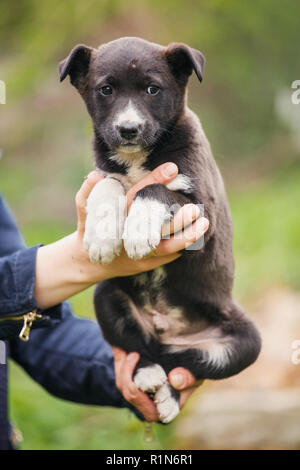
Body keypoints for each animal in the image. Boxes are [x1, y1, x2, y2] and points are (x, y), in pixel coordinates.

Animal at [59, 38, 262, 424]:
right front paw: (103, 234)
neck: (138, 159)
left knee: (183, 361)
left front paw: (138, 231)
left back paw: (167, 393)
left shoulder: (203, 212)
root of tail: (172, 332)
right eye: (106, 90)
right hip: (106, 295)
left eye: (153, 89)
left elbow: (155, 189)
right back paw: (148, 374)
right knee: (144, 348)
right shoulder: (103, 171)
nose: (128, 129)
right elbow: (108, 184)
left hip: (246, 341)